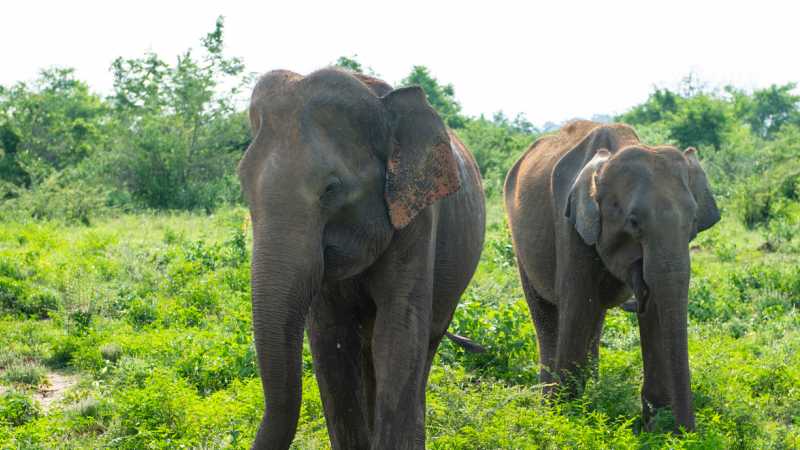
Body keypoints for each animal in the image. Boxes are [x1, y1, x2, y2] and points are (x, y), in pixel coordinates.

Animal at [238, 68, 486, 449]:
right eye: (243, 184)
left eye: (331, 189)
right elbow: (330, 340)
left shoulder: (417, 218)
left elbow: (397, 334)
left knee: (422, 347)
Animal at [503, 120, 719, 432]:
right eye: (633, 222)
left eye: (692, 223)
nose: (686, 434)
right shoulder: (570, 224)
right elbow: (577, 305)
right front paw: (567, 419)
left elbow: (655, 310)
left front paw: (655, 427)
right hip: (520, 244)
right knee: (547, 315)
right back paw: (549, 404)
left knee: (596, 317)